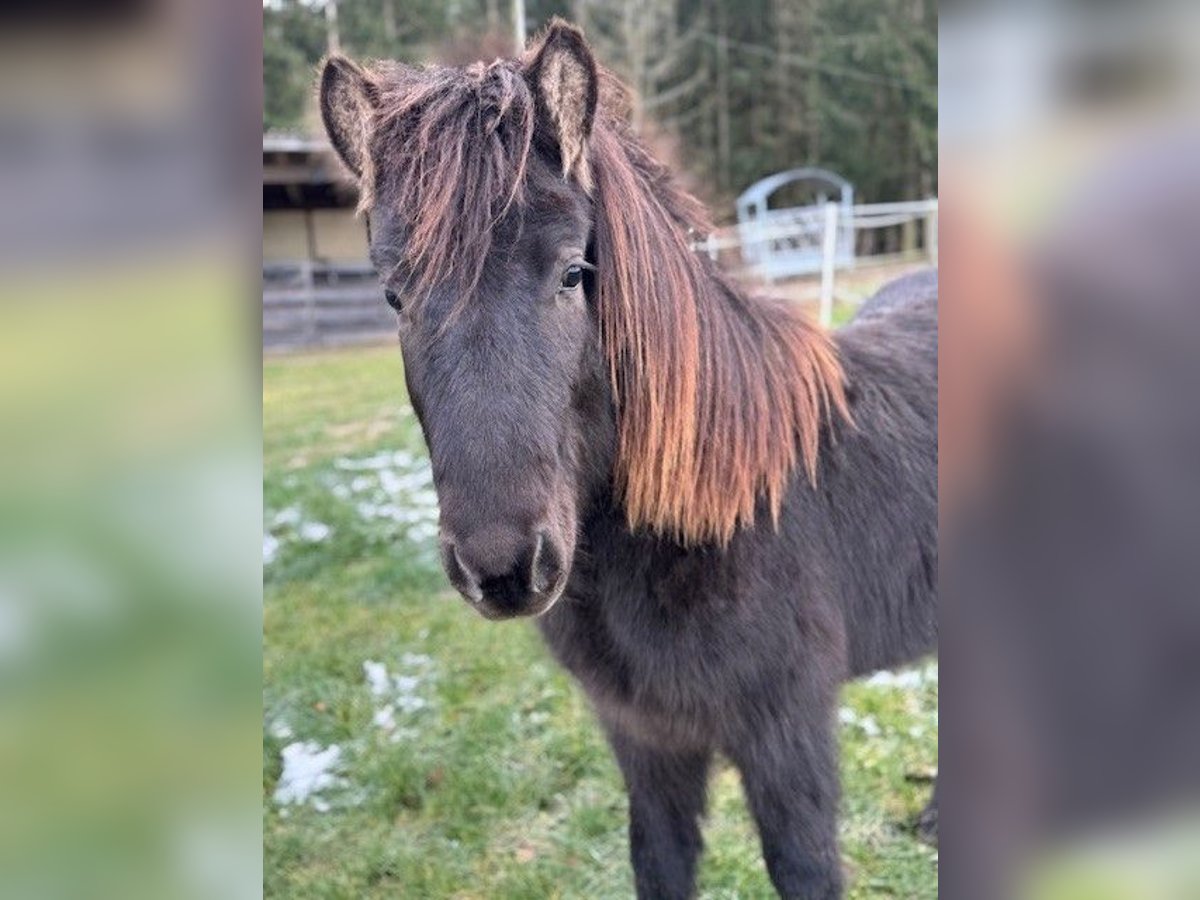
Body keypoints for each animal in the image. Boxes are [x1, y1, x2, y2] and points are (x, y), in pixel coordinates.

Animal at [319, 21, 936, 900]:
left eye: (575, 271)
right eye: (393, 296)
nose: (503, 569)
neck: (719, 514)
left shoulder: (789, 740)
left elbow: (805, 869)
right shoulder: (646, 741)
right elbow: (660, 863)